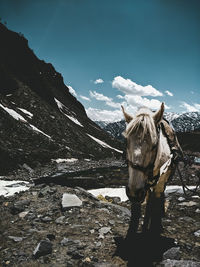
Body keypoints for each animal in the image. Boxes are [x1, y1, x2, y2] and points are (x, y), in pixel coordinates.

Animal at [122, 103, 177, 236]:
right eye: (126, 142)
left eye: (154, 145)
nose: (134, 193)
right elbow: (137, 210)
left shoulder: (160, 182)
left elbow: (156, 200)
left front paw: (155, 227)